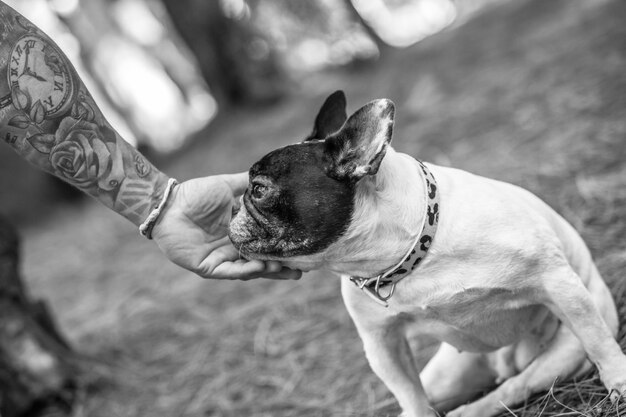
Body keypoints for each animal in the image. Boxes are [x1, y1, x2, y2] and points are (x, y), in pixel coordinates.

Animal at [228, 92, 624, 416]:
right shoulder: (383, 344)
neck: (409, 251)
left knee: (517, 386)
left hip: (564, 355)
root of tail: (505, 361)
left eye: (259, 189)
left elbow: (598, 340)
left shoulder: (557, 283)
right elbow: (411, 397)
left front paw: (619, 381)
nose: (233, 207)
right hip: (446, 374)